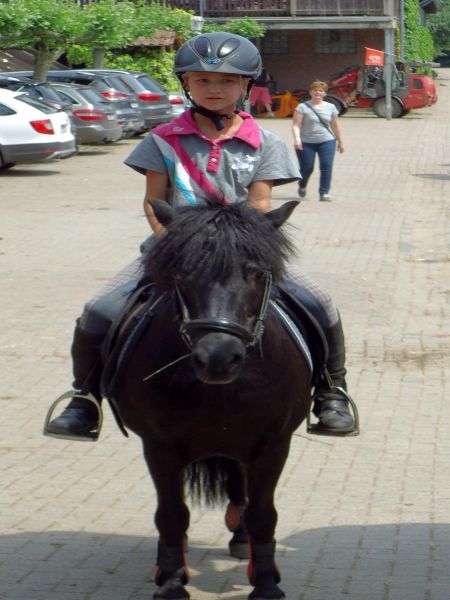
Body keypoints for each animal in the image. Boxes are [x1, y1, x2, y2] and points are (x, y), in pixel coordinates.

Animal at [113, 199, 312, 600]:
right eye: (182, 273)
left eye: (256, 273)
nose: (218, 357)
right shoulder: (159, 447)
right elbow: (171, 515)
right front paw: (172, 583)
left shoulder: (272, 445)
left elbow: (263, 514)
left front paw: (266, 584)